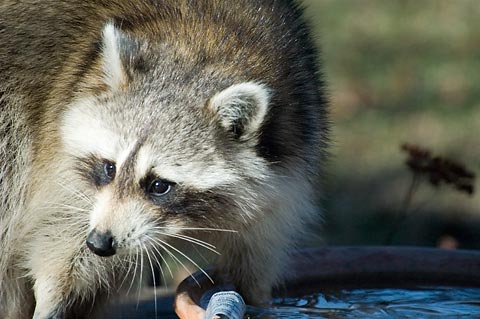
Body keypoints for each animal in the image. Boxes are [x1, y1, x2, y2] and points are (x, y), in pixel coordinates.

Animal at [0, 1, 328, 318]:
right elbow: (63, 234)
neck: (202, 48)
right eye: (109, 168)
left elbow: (255, 251)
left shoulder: (293, 154)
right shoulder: (61, 146)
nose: (100, 242)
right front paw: (53, 295)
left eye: (159, 186)